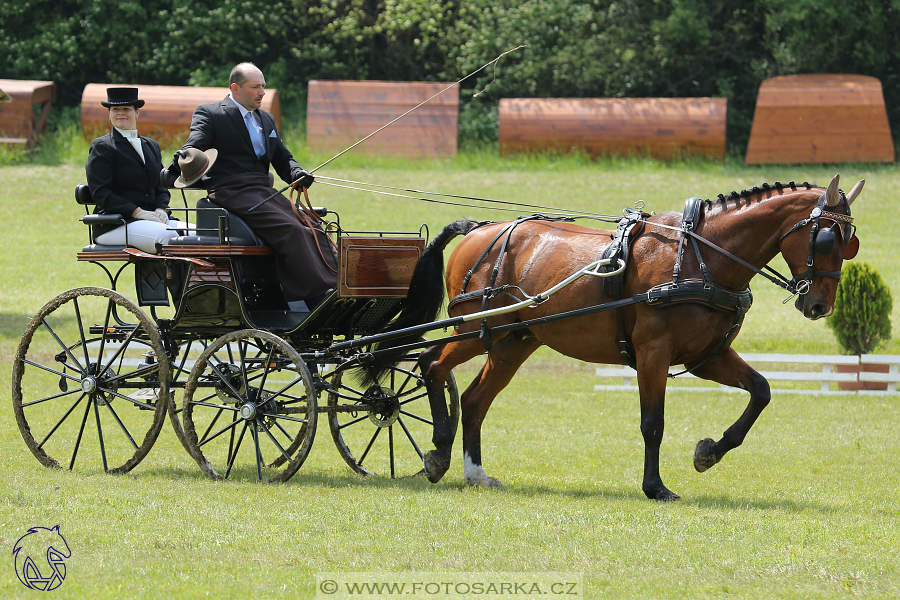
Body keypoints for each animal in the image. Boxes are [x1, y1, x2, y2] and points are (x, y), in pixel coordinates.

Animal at [362, 171, 860, 500]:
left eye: (850, 244)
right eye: (826, 241)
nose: (820, 306)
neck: (700, 257)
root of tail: (478, 229)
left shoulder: (706, 356)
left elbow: (761, 391)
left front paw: (710, 452)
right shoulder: (653, 353)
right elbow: (653, 423)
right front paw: (655, 486)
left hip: (512, 341)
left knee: (473, 398)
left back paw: (474, 472)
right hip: (473, 327)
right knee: (431, 364)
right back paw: (438, 453)